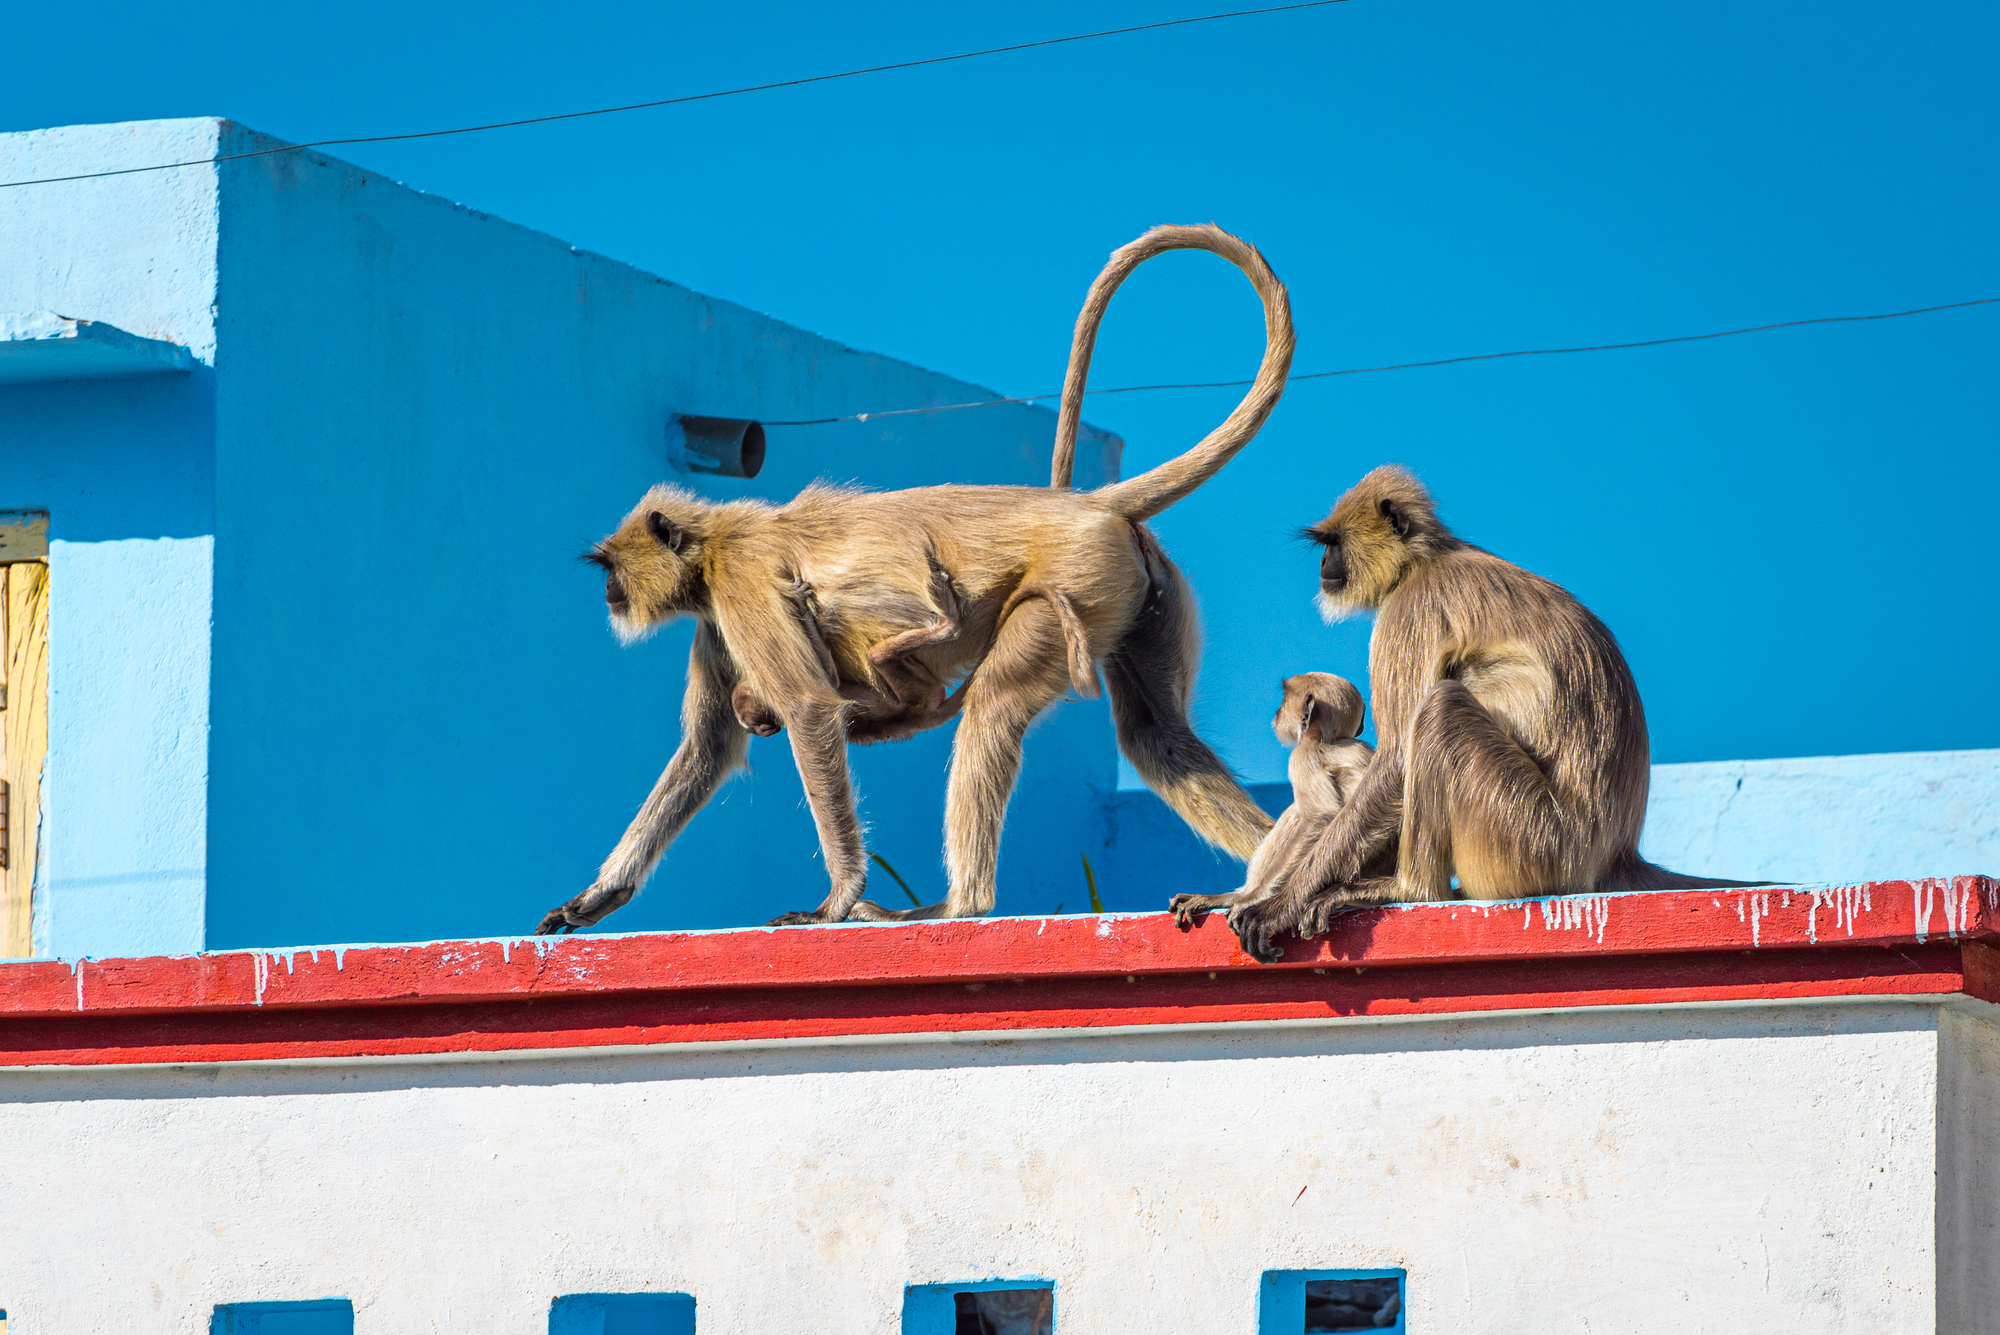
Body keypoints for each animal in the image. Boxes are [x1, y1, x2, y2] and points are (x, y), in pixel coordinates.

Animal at [535, 223, 1292, 935]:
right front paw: (598, 896)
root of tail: (1088, 506)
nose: (609, 593)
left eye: (610, 568)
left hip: (1077, 581)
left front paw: (837, 899)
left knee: (993, 705)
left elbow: (808, 707)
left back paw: (957, 904)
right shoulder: (716, 616)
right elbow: (707, 747)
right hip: (1137, 588)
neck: (717, 541)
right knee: (1155, 736)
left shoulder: (740, 584)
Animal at [1169, 672, 1389, 927]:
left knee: (1299, 814)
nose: (1277, 712)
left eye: (1284, 699)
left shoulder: (1302, 756)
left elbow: (1321, 816)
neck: (1327, 739)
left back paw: (1245, 895)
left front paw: (1252, 899)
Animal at [1210, 465, 1767, 963]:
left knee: (1440, 708)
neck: (1424, 561)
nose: (1324, 564)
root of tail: (1613, 851)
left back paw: (1410, 890)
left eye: (1334, 543)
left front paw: (1279, 905)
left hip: (1531, 837)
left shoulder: (1409, 609)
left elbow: (1394, 761)